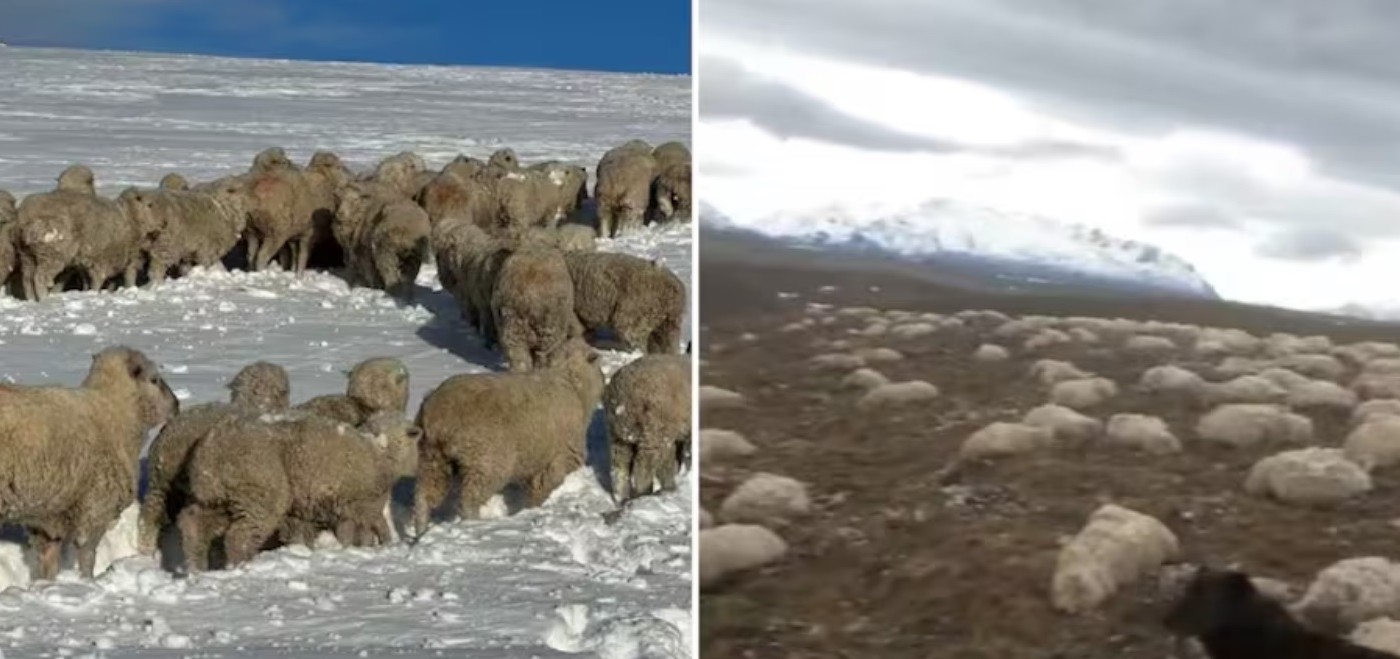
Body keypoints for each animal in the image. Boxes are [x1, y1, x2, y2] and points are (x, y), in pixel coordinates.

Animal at [0, 347, 179, 579]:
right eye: (154, 379)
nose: (177, 405)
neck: (115, 413)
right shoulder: (96, 507)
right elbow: (87, 554)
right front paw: (87, 581)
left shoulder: (48, 516)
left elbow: (49, 559)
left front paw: (48, 583)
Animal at [180, 410, 421, 570]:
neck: (380, 448)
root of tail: (212, 450)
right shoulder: (363, 504)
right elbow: (374, 527)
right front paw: (385, 544)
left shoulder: (342, 506)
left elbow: (346, 533)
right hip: (259, 493)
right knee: (239, 537)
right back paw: (243, 566)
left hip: (218, 498)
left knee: (194, 524)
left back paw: (196, 568)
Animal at [412, 339, 604, 535]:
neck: (571, 382)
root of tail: (438, 414)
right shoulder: (561, 456)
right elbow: (546, 485)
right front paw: (535, 508)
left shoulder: (536, 461)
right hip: (486, 462)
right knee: (469, 500)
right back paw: (474, 524)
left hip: (432, 457)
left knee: (424, 497)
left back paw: (420, 530)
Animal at [605, 354, 690, 502]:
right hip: (654, 431)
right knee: (644, 467)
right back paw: (645, 494)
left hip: (619, 433)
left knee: (619, 468)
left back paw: (622, 499)